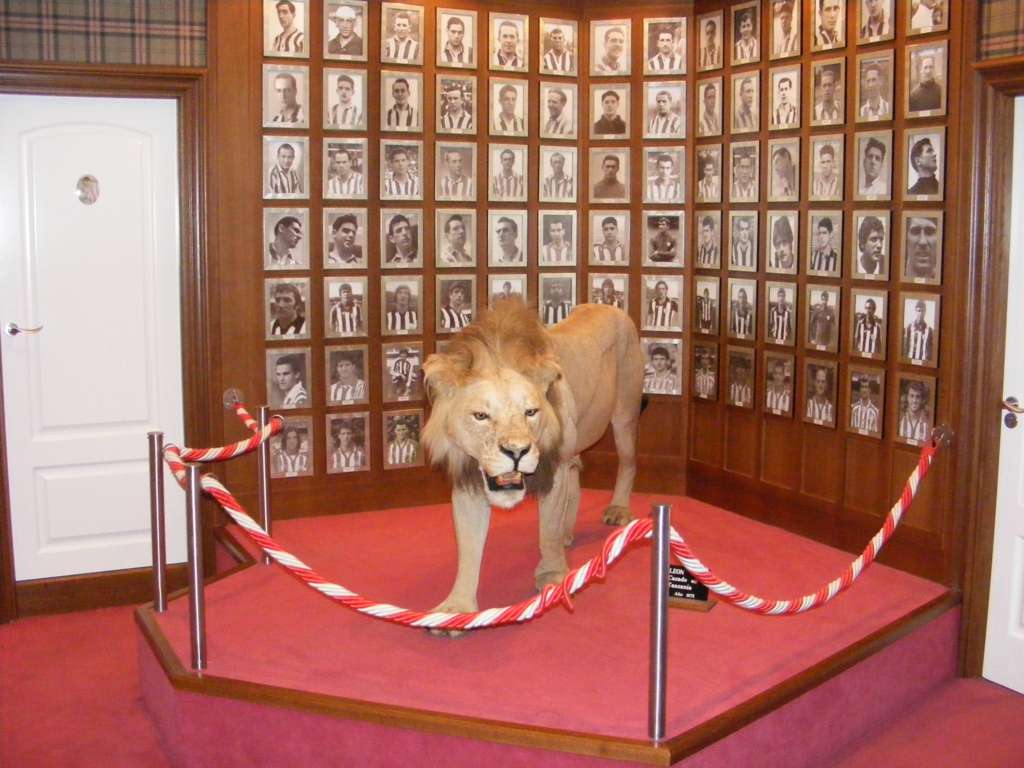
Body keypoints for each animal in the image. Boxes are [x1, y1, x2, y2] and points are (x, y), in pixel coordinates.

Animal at [421, 298, 644, 618]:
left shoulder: (555, 467)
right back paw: (568, 533)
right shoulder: (468, 482)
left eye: (530, 412)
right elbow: (468, 545)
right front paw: (457, 606)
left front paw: (552, 575)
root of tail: (609, 306)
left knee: (628, 462)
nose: (517, 452)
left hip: (624, 415)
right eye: (481, 416)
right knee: (576, 479)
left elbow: (547, 529)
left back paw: (617, 510)